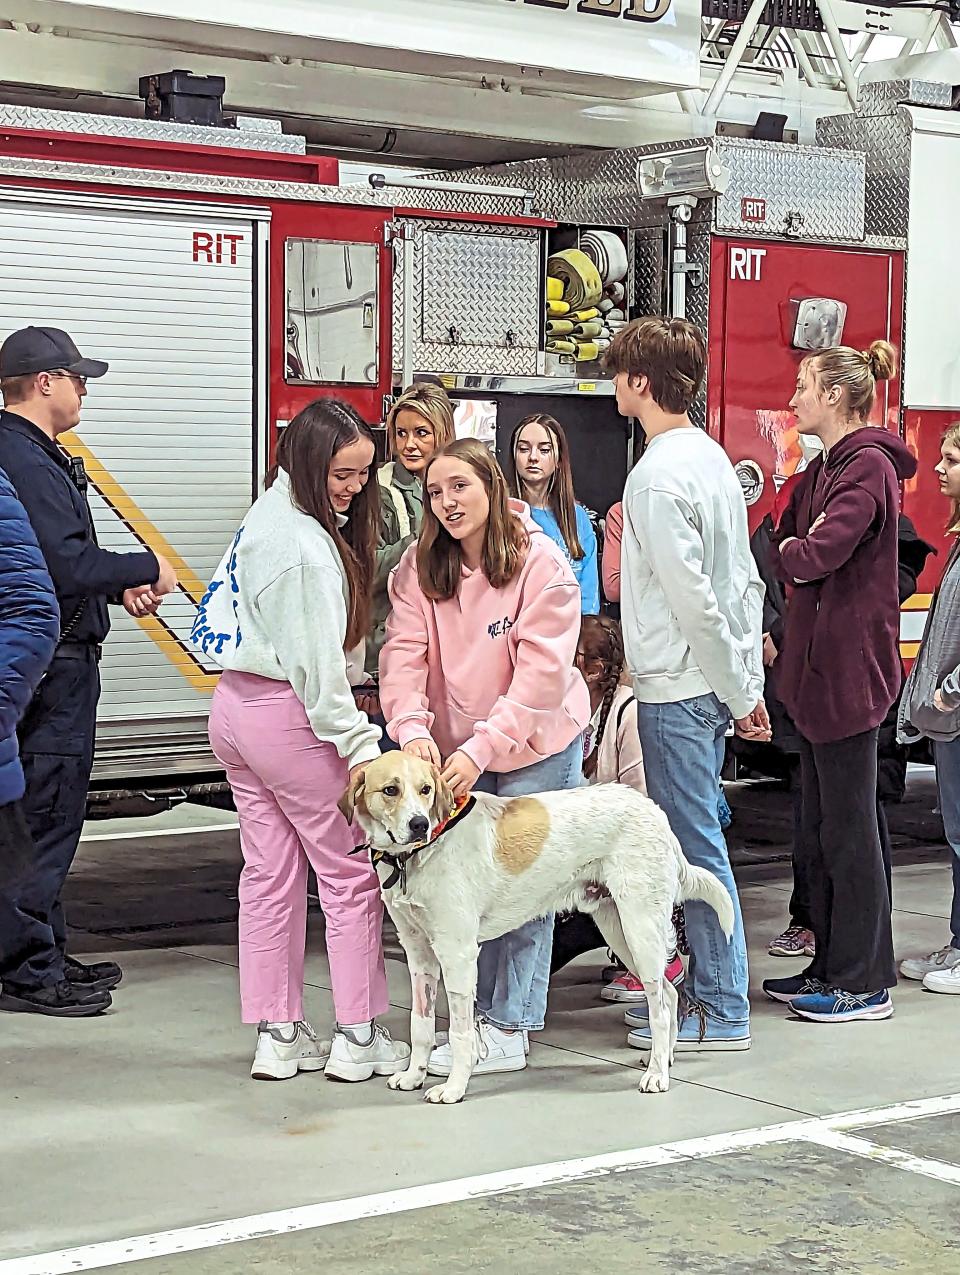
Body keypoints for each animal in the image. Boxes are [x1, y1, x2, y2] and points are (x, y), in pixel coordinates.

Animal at [344, 749, 734, 1101]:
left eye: (425, 789)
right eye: (390, 790)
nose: (419, 825)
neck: (419, 855)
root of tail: (654, 810)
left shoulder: (457, 954)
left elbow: (460, 1032)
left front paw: (454, 1088)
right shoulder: (419, 954)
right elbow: (421, 1024)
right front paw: (414, 1076)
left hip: (640, 926)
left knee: (661, 1007)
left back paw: (657, 1076)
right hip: (619, 930)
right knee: (668, 994)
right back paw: (662, 1059)